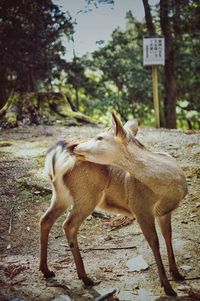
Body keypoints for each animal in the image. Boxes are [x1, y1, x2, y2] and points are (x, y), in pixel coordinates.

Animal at [74, 112, 188, 296]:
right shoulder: (140, 208)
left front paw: (177, 274)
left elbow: (168, 236)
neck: (170, 191)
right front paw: (167, 287)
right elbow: (154, 242)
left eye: (100, 137)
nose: (75, 146)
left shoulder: (164, 212)